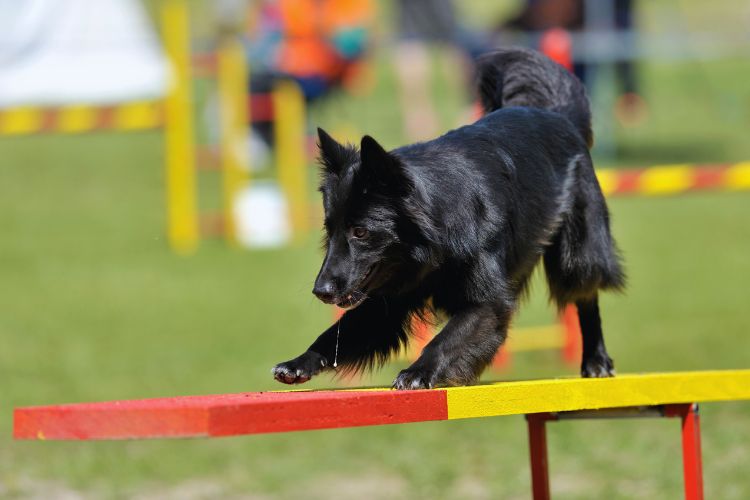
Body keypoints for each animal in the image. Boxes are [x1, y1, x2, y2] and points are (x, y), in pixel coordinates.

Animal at [274, 47, 624, 390]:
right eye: (329, 231)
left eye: (360, 232)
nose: (321, 291)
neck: (432, 237)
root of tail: (559, 115)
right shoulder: (388, 297)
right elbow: (340, 330)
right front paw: (300, 361)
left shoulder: (487, 302)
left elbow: (447, 339)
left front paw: (419, 371)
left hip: (576, 253)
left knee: (586, 295)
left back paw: (596, 360)